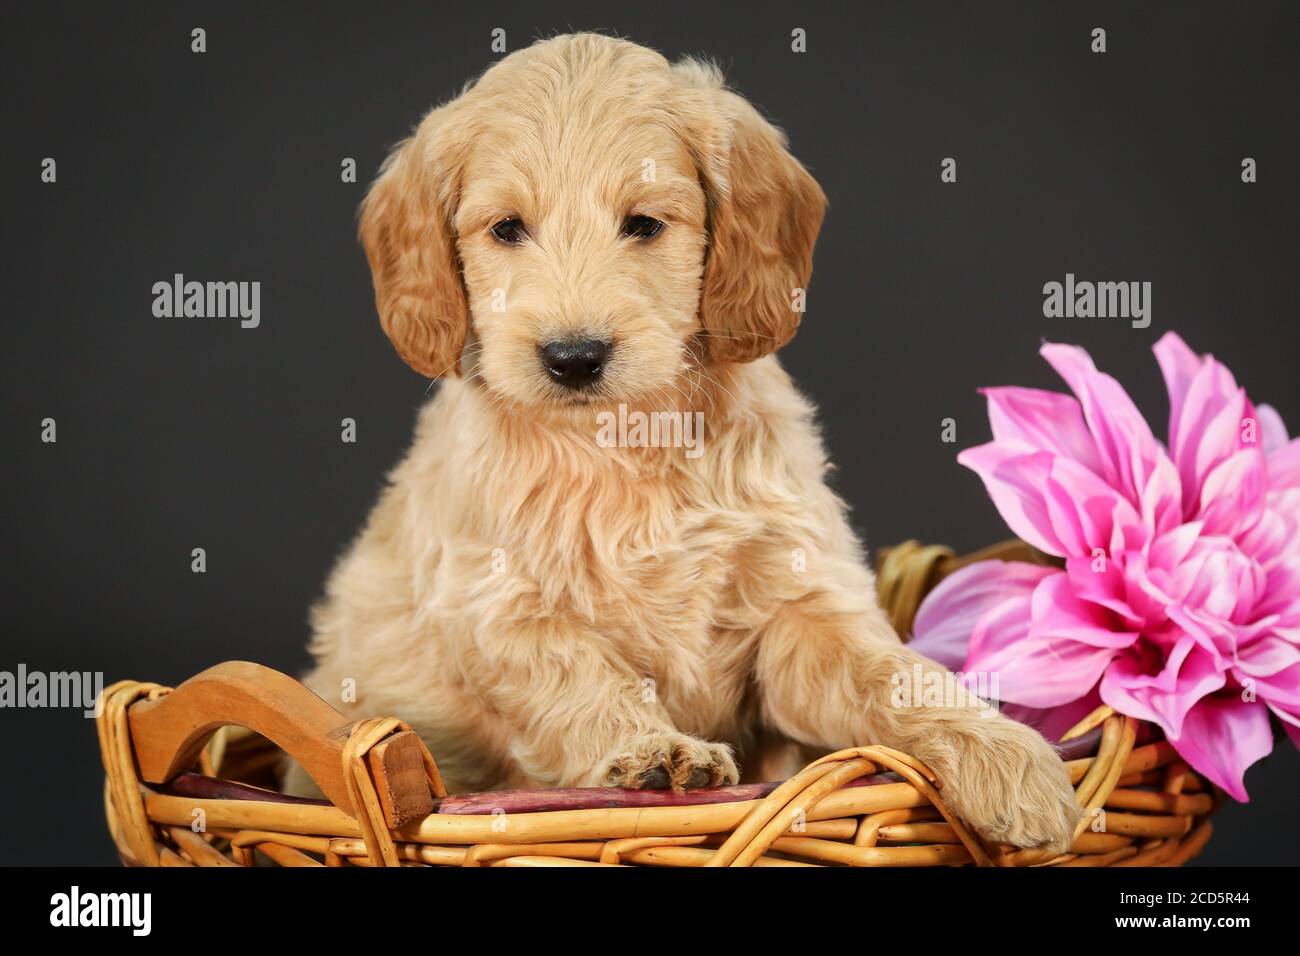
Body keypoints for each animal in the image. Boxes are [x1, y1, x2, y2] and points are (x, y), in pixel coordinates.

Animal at [299, 31, 1081, 853]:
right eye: (507, 228)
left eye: (644, 224)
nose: (573, 357)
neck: (624, 441)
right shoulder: (495, 605)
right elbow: (578, 673)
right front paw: (651, 750)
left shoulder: (800, 605)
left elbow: (893, 671)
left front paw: (1003, 752)